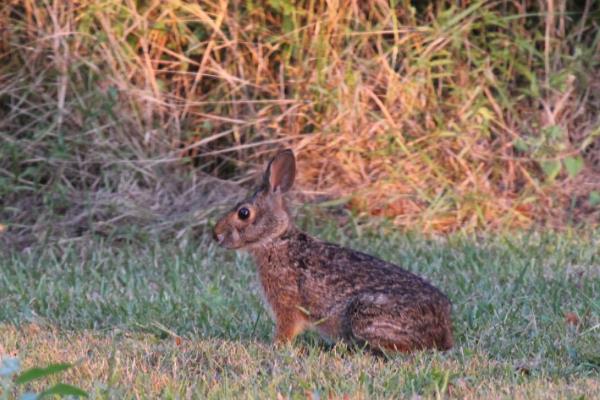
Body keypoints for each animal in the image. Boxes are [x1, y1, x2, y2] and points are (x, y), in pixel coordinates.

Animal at [213, 149, 452, 354]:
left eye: (244, 213)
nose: (216, 235)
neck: (276, 240)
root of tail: (443, 328)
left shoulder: (287, 303)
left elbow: (287, 328)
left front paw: (275, 346)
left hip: (364, 315)